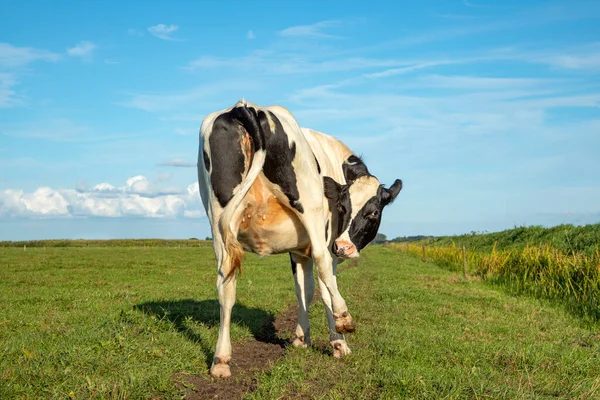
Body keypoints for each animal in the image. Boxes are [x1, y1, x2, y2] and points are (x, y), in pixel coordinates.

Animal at [198, 100, 404, 378]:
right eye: (342, 207)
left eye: (373, 212)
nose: (344, 247)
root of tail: (246, 107)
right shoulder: (325, 243)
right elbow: (324, 286)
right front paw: (337, 342)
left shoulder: (297, 251)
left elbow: (303, 290)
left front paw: (301, 338)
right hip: (310, 210)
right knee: (323, 265)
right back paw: (344, 318)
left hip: (218, 220)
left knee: (225, 284)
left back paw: (221, 360)